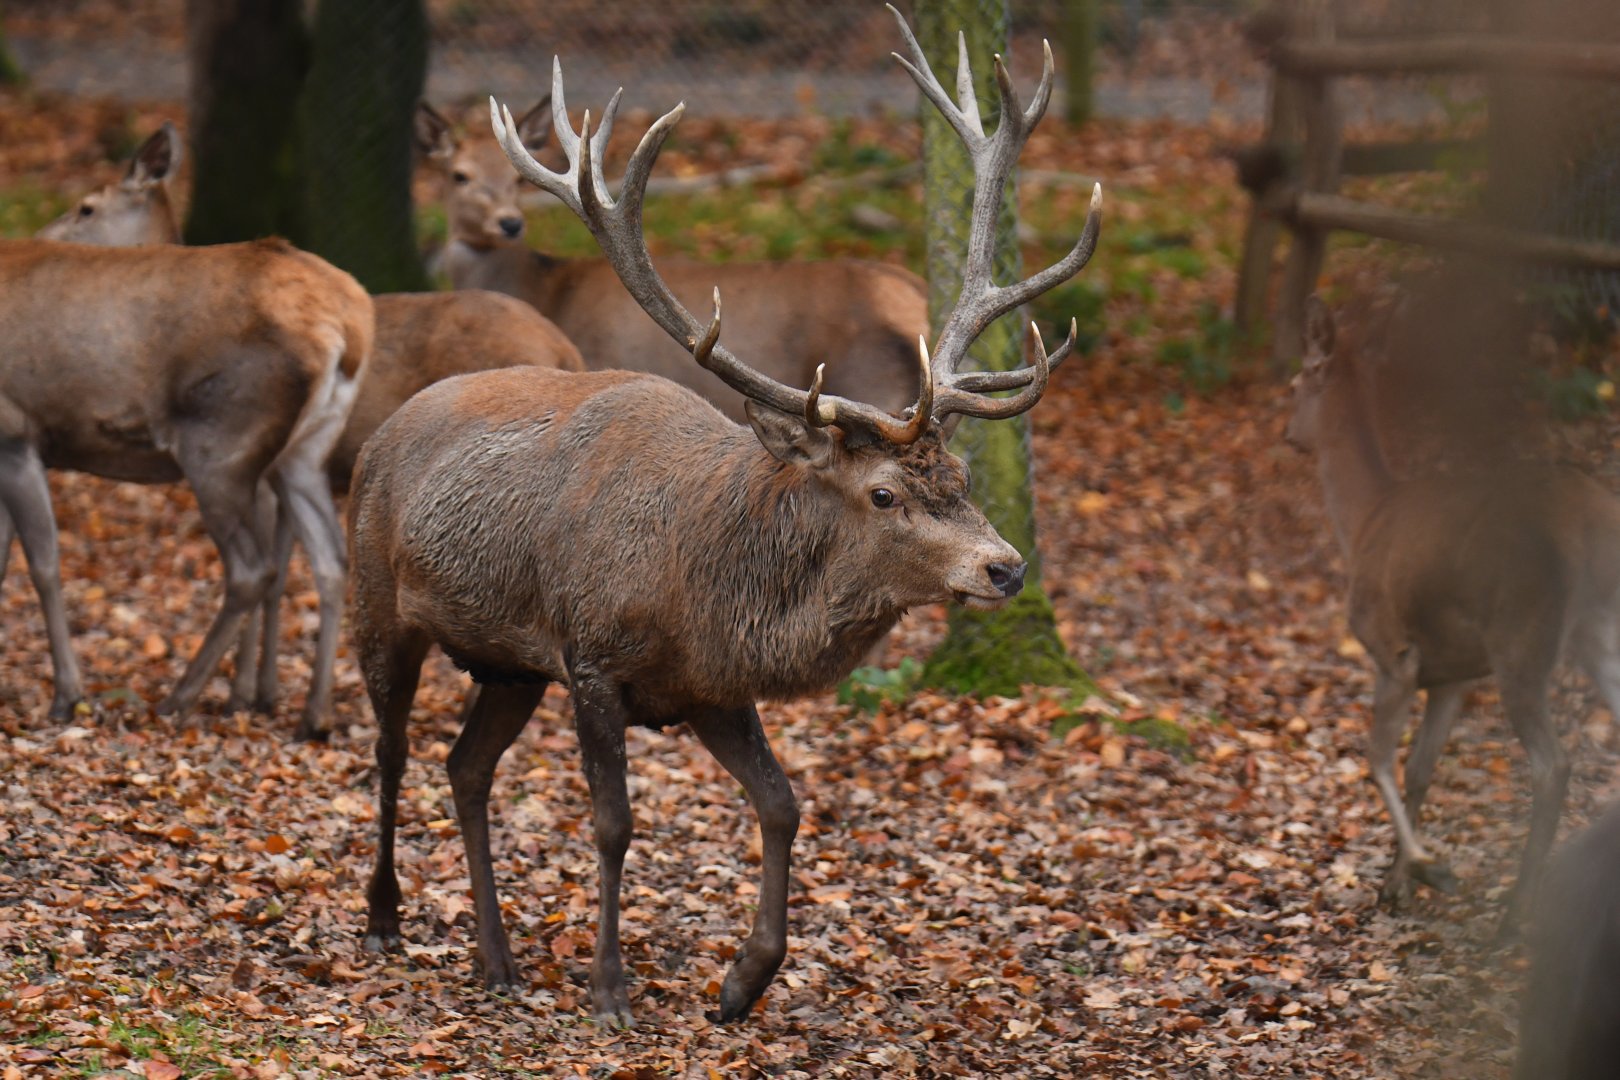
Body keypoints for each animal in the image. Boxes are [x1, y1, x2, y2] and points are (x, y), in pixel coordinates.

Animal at [0, 237, 372, 738]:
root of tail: (349, 326)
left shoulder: (15, 432)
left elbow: (42, 567)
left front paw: (67, 696)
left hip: (218, 446)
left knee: (252, 569)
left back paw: (179, 697)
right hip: (305, 452)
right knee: (330, 560)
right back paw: (313, 715)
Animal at [36, 130, 587, 724]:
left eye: (87, 207)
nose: (41, 238)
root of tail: (565, 347)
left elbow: (269, 574)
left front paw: (246, 693)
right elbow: (285, 569)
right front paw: (261, 692)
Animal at [1285, 295, 1620, 932]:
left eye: (1294, 381)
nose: (1288, 432)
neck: (1364, 521)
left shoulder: (1391, 650)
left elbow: (1378, 760)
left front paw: (1423, 867)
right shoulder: (1452, 676)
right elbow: (1421, 768)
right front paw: (1396, 883)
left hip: (1523, 631)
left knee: (1552, 765)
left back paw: (1516, 912)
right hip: (1597, 628)